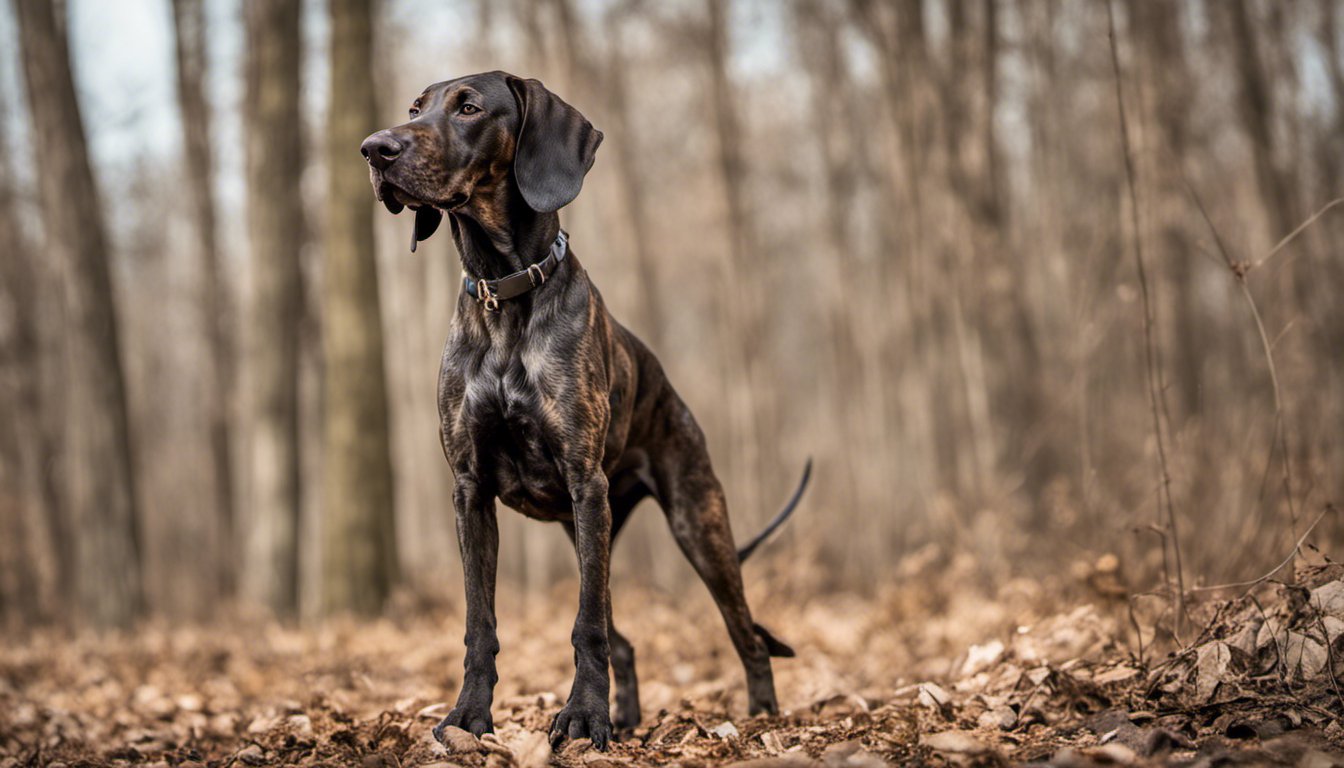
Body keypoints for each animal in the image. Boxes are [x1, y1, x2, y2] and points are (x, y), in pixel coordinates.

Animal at [360, 70, 806, 753]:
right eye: (414, 108)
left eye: (469, 107)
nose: (374, 149)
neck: (505, 291)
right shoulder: (470, 491)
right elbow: (479, 622)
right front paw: (469, 717)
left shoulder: (584, 482)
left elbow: (586, 625)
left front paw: (583, 717)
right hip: (589, 534)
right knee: (625, 640)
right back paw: (630, 716)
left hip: (695, 524)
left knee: (743, 633)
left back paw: (761, 717)